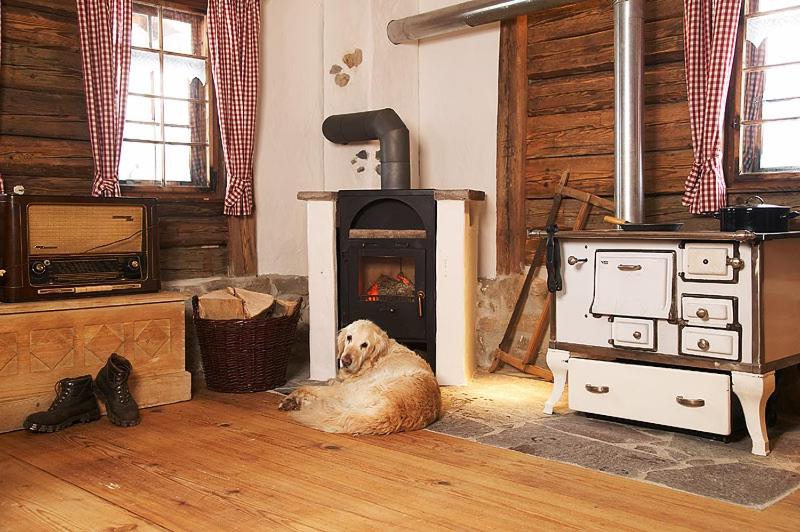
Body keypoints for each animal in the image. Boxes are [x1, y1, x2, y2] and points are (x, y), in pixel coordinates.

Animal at [280, 318, 444, 434]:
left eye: (364, 345)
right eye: (349, 337)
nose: (345, 361)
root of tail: (393, 410)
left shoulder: (343, 387)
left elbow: (307, 386)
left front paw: (290, 397)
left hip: (351, 392)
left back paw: (298, 402)